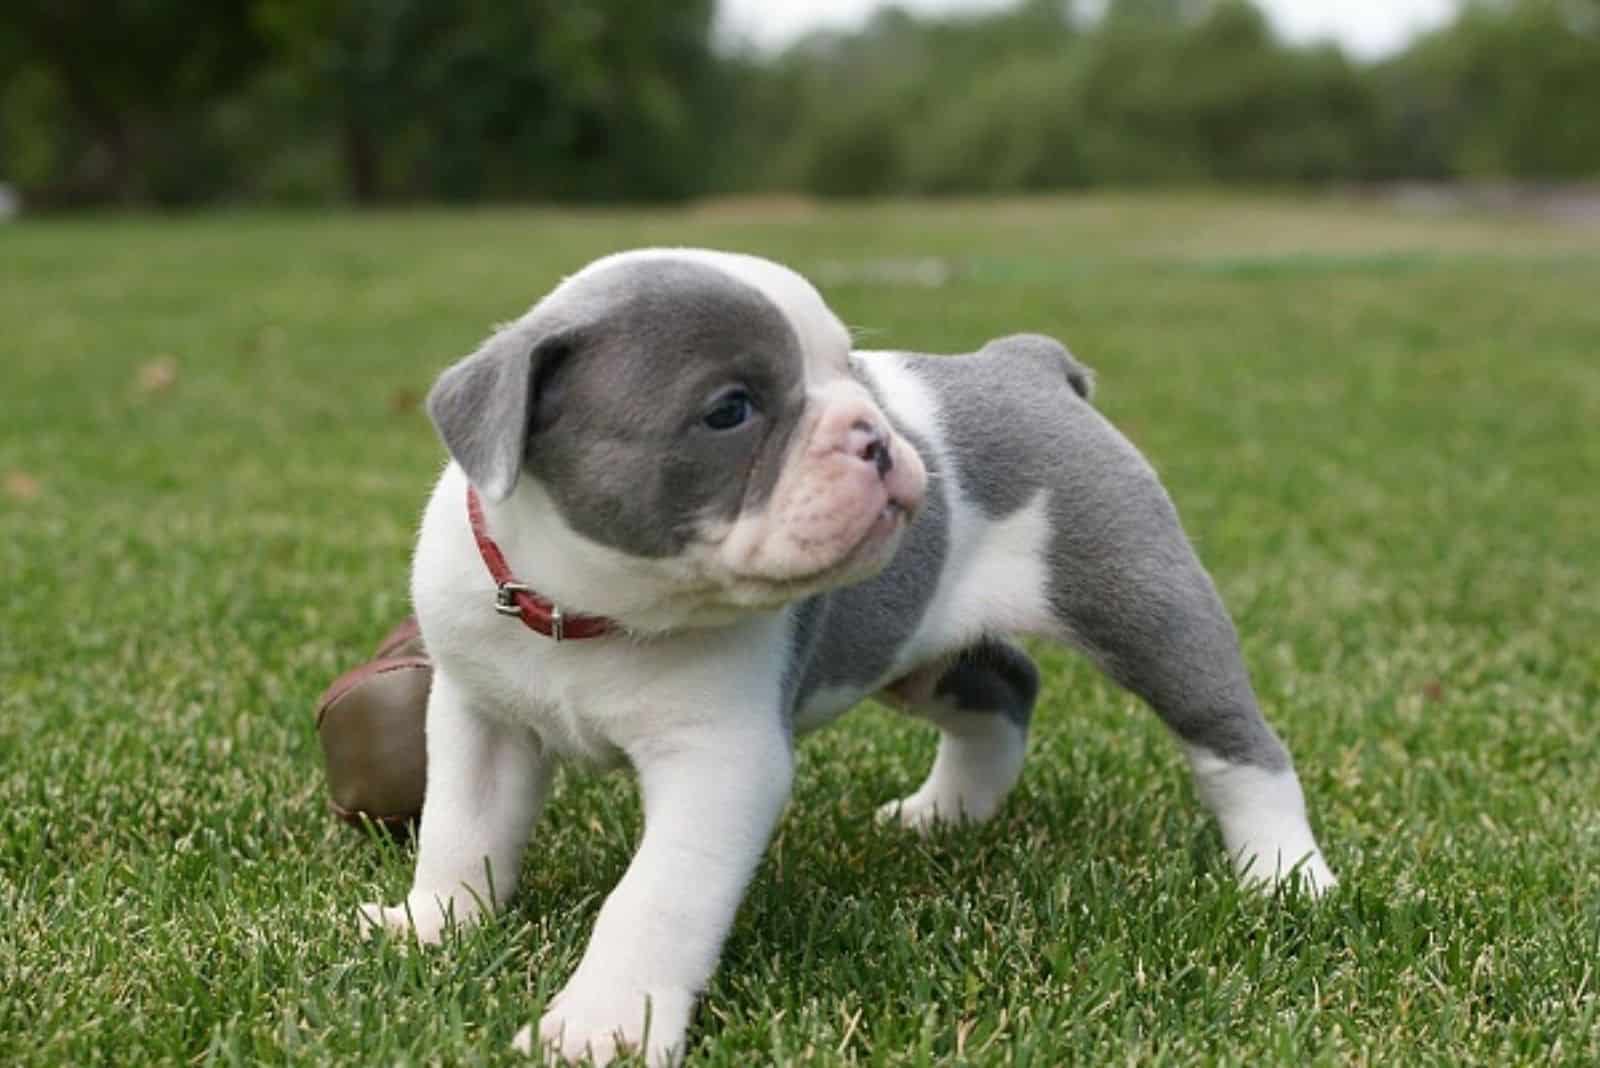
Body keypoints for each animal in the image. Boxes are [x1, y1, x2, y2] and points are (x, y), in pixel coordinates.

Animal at [356, 247, 1331, 1061]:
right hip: (917, 650)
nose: (876, 434)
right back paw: (946, 814)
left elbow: (656, 897)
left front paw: (603, 1026)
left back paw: (1286, 876)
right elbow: (461, 828)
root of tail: (1024, 363)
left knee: (1234, 740)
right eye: (730, 411)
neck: (589, 605)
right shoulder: (480, 718)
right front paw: (433, 925)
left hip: (1147, 607)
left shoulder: (719, 763)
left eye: (850, 373)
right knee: (1005, 687)